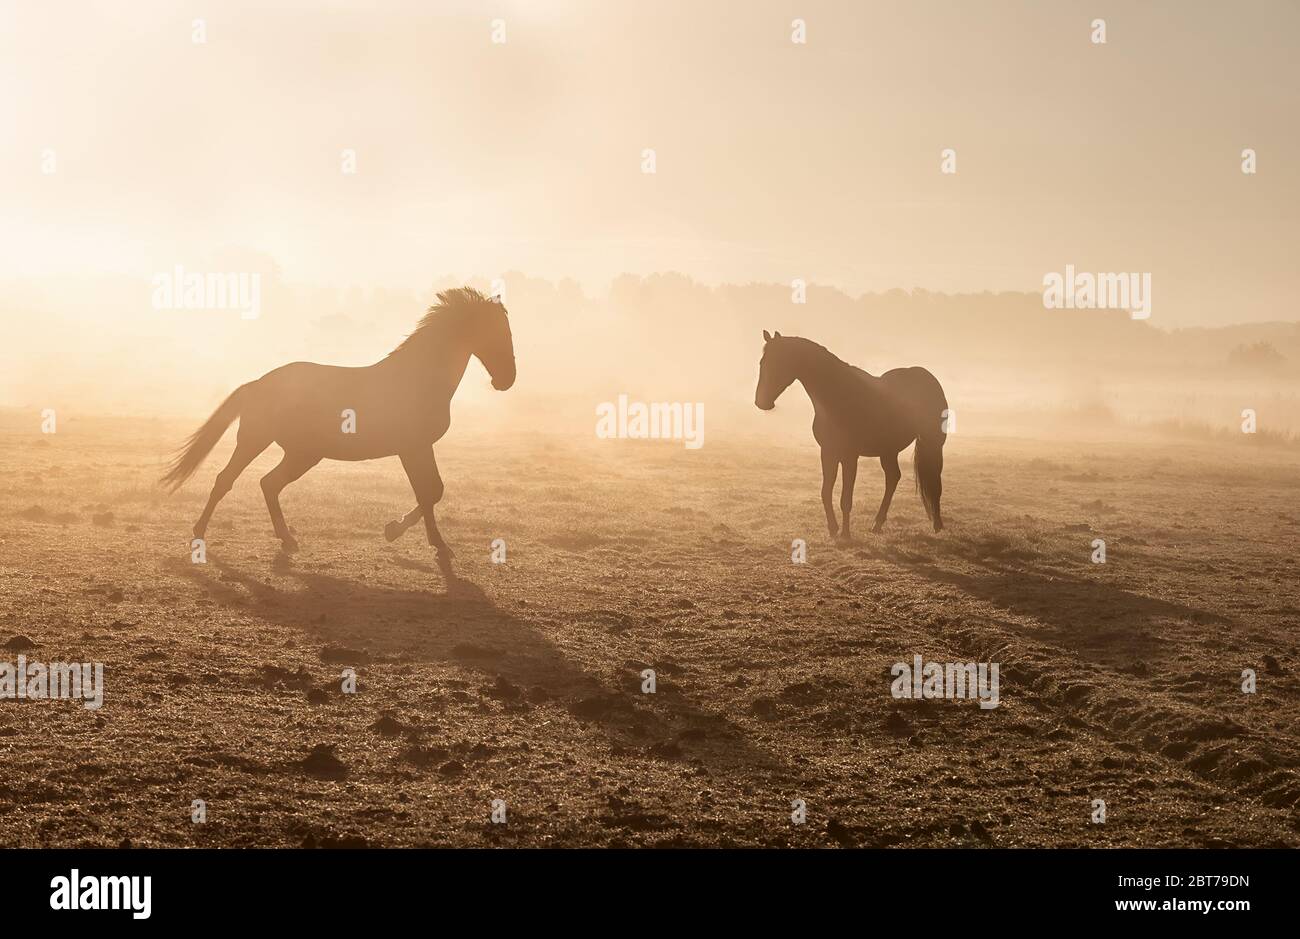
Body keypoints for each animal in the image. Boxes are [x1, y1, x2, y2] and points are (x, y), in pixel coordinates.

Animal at [157, 284, 512, 569]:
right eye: (497, 331)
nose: (506, 380)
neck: (417, 378)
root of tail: (256, 384)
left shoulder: (418, 448)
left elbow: (433, 492)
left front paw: (401, 533)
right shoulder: (413, 448)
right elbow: (429, 493)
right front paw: (426, 542)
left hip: (301, 454)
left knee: (268, 484)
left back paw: (287, 540)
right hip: (257, 441)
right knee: (227, 480)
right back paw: (200, 533)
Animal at [754, 331, 946, 538]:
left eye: (779, 362)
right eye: (762, 362)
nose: (761, 402)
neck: (838, 398)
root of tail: (928, 377)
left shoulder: (849, 456)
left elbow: (846, 499)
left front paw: (845, 534)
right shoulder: (828, 452)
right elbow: (826, 491)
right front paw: (833, 528)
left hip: (933, 444)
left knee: (934, 482)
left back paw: (937, 524)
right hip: (888, 450)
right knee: (893, 478)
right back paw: (877, 524)